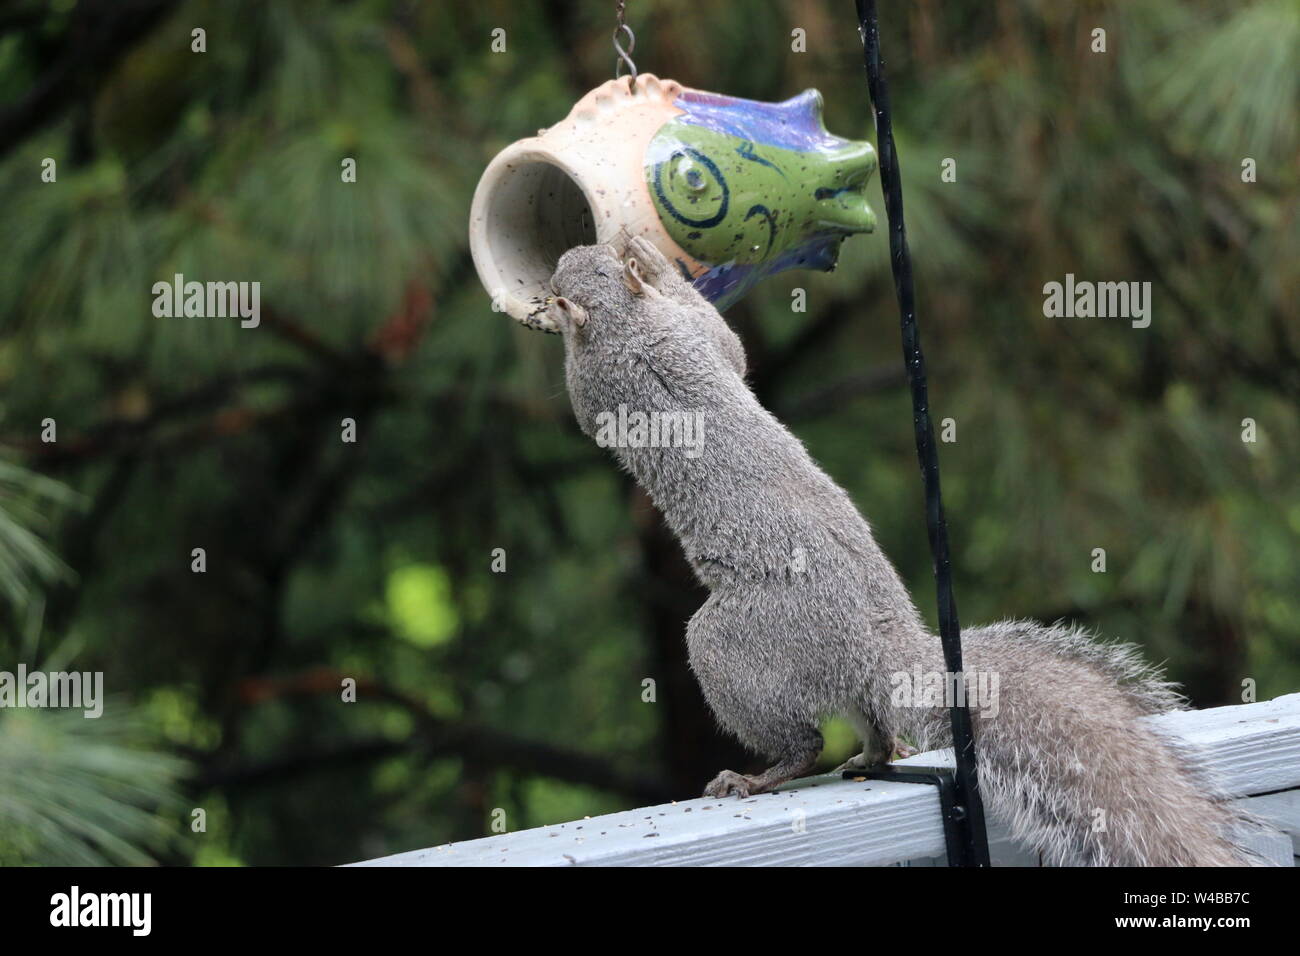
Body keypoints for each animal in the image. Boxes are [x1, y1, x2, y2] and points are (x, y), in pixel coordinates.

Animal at [543, 238, 1260, 866]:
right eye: (580, 261)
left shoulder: (605, 381)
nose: (559, 266)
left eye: (563, 280)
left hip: (735, 646)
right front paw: (653, 260)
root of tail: (881, 648)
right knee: (879, 728)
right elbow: (728, 346)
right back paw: (868, 756)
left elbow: (593, 404)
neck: (629, 325)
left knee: (801, 738)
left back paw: (756, 777)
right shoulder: (692, 338)